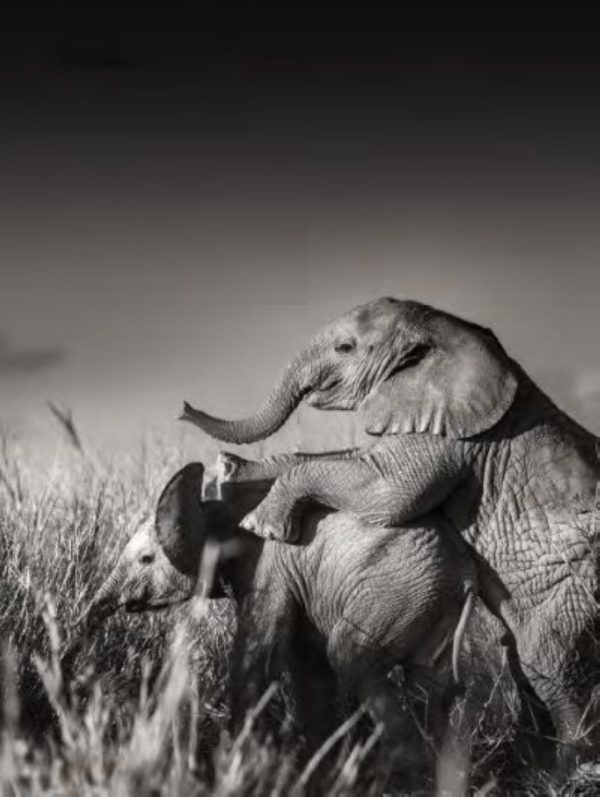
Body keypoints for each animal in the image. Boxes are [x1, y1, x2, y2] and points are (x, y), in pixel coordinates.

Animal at [74, 454, 478, 764]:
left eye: (145, 559)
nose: (77, 665)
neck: (217, 508)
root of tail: (467, 572)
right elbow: (307, 663)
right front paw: (318, 764)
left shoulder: (268, 567)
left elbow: (259, 654)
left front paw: (233, 759)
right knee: (429, 689)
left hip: (396, 593)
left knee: (353, 658)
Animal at [180, 296, 600, 752]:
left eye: (345, 348)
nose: (184, 409)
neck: (448, 333)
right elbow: (353, 460)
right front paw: (230, 470)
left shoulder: (449, 437)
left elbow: (386, 489)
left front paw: (262, 524)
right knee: (521, 659)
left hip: (576, 585)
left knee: (549, 664)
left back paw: (570, 764)